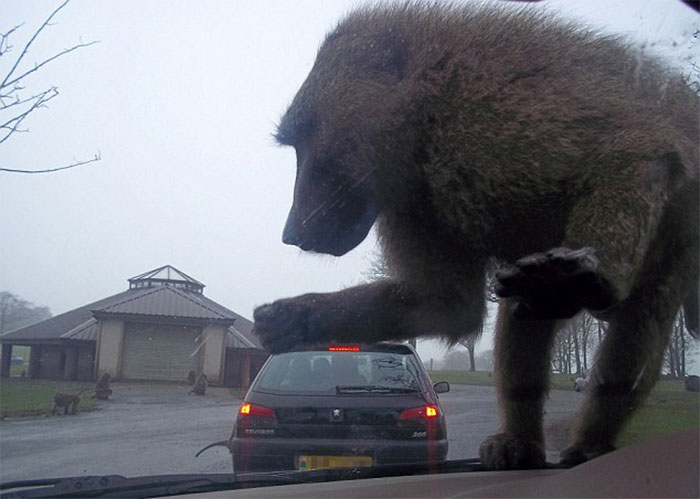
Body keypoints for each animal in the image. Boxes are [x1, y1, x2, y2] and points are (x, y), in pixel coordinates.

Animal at [251, 3, 699, 470]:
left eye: (304, 137)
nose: (290, 233)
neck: (422, 109)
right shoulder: (417, 204)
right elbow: (449, 305)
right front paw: (295, 318)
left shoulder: (491, 116)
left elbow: (635, 145)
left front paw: (578, 277)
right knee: (526, 309)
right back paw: (521, 443)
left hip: (682, 232)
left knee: (640, 316)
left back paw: (590, 440)